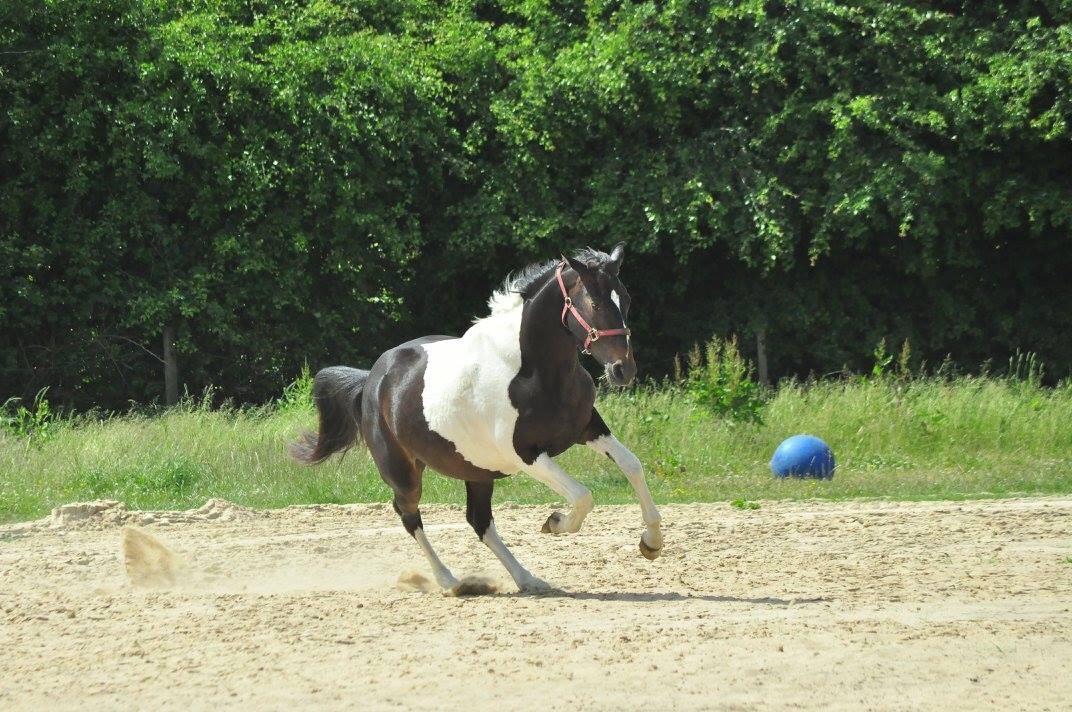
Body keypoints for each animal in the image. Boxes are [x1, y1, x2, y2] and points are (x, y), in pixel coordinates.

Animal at [291, 244, 660, 596]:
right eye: (595, 304)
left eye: (626, 299)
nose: (623, 370)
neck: (534, 371)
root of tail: (371, 379)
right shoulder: (525, 454)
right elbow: (583, 495)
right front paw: (554, 523)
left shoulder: (588, 429)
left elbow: (632, 465)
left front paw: (651, 543)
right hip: (403, 471)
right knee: (409, 515)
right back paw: (450, 581)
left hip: (477, 471)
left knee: (479, 522)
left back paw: (528, 580)